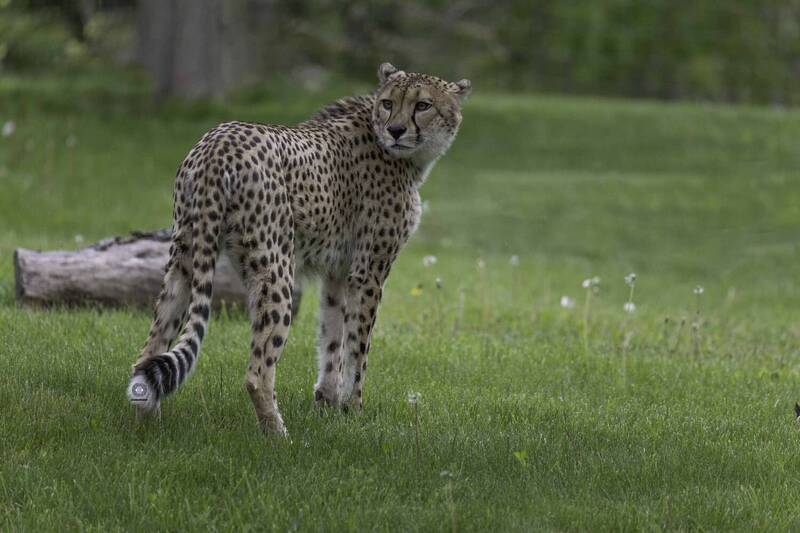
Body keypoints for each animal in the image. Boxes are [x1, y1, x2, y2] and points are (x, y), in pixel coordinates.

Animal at [126, 63, 471, 436]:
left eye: (422, 105)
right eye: (389, 103)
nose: (395, 130)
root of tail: (218, 141)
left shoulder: (338, 273)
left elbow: (332, 338)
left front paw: (328, 404)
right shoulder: (368, 273)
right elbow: (358, 348)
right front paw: (355, 411)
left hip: (184, 259)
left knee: (147, 352)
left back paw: (148, 425)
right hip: (277, 270)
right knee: (256, 373)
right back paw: (278, 435)